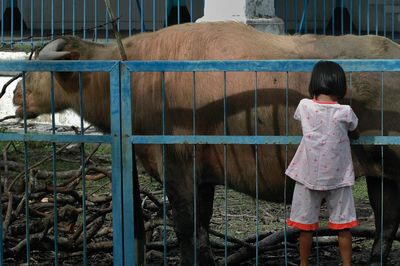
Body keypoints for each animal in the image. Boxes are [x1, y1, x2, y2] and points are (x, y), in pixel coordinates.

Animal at [10, 21, 400, 264]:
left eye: (40, 71)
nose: (14, 94)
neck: (135, 78)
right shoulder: (203, 177)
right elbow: (199, 230)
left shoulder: (178, 169)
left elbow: (188, 232)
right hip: (381, 176)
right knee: (386, 226)